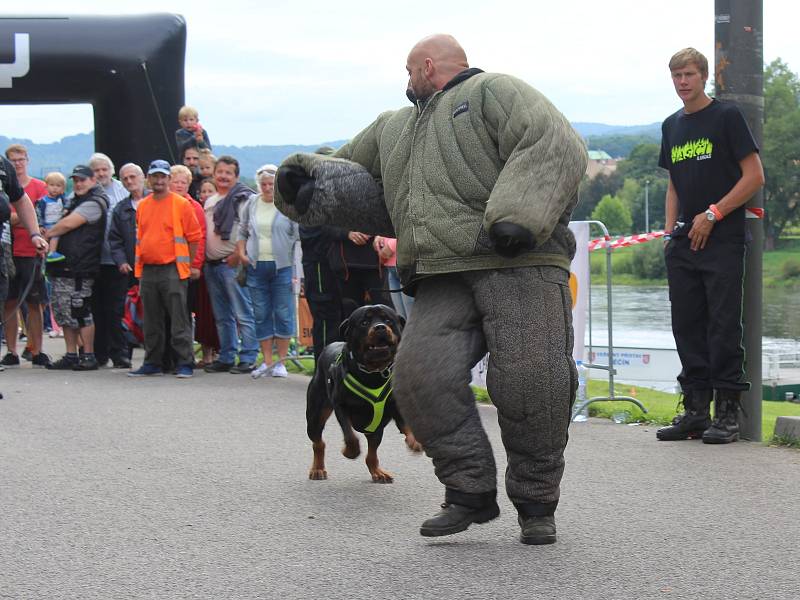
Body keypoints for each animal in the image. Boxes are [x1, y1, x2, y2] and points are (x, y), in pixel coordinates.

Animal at [304, 304, 422, 482]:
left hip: (375, 430)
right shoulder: (341, 405)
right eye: (364, 322)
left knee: (371, 452)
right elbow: (350, 435)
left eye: (388, 320)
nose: (380, 327)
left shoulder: (395, 406)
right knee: (319, 442)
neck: (373, 372)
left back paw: (378, 472)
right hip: (315, 415)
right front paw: (350, 451)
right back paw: (318, 469)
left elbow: (406, 425)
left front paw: (414, 441)